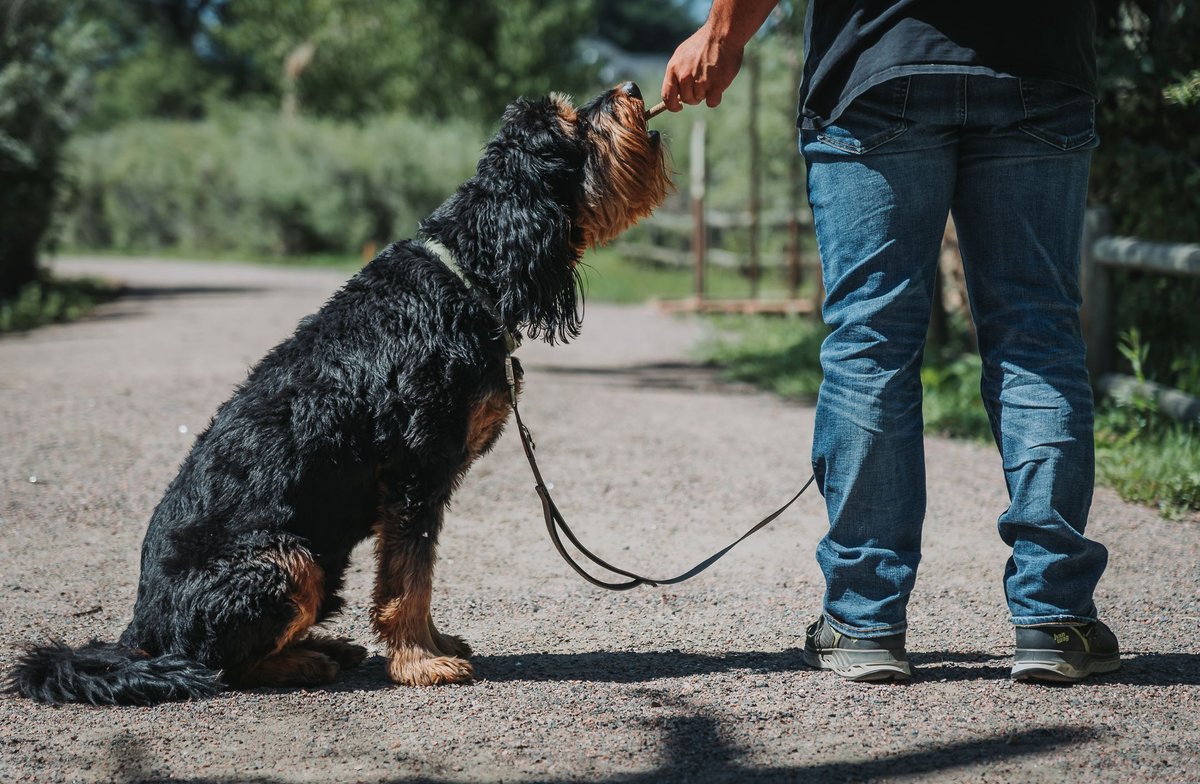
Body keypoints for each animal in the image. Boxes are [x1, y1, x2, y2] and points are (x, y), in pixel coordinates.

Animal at [9, 81, 672, 701]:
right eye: (571, 121)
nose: (635, 90)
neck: (465, 274)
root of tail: (140, 632)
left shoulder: (421, 484)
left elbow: (413, 572)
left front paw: (429, 647)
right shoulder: (415, 473)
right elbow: (409, 581)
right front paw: (420, 662)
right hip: (287, 559)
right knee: (223, 667)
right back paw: (305, 660)